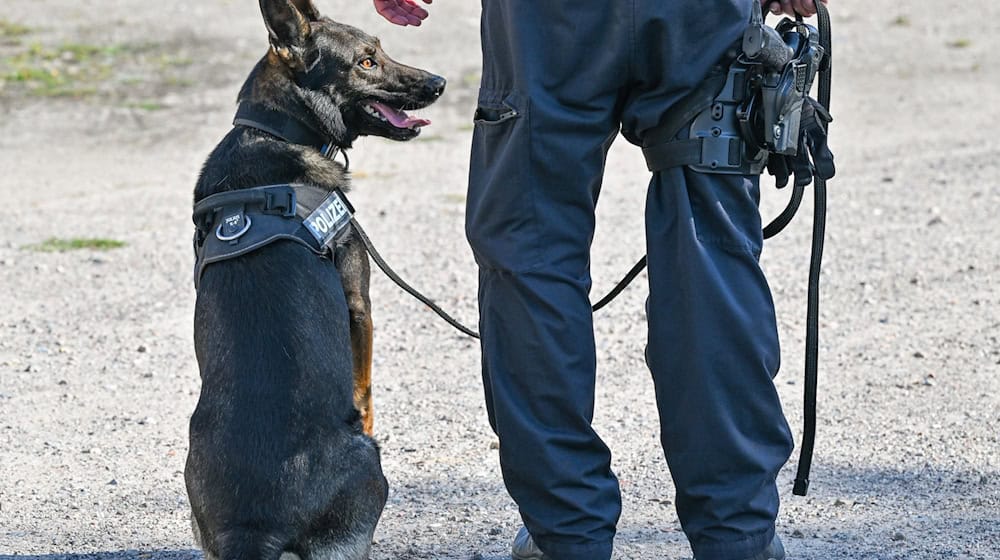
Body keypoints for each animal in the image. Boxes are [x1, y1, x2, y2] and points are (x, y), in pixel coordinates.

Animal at [184, 0, 442, 556]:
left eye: (379, 50)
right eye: (366, 61)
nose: (439, 83)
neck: (278, 130)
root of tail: (256, 527)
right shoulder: (358, 305)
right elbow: (364, 390)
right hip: (370, 467)